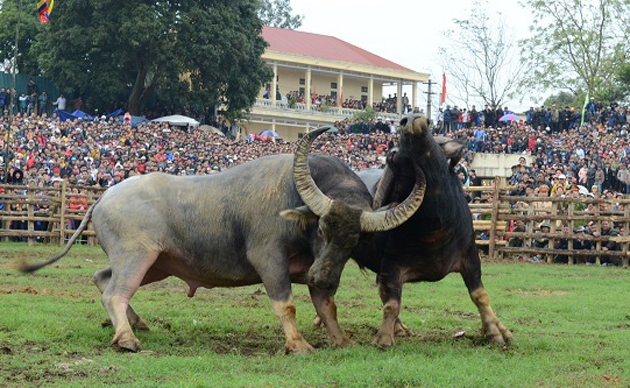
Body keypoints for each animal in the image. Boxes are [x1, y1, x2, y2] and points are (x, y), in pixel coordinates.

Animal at [21, 128, 424, 354]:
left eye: (355, 241)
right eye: (322, 230)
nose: (324, 278)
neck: (293, 193)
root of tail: (104, 196)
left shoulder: (316, 267)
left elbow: (328, 308)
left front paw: (341, 341)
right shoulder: (269, 259)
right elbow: (286, 305)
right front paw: (298, 345)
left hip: (155, 264)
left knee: (102, 278)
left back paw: (136, 324)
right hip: (136, 257)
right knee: (113, 293)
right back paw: (128, 339)